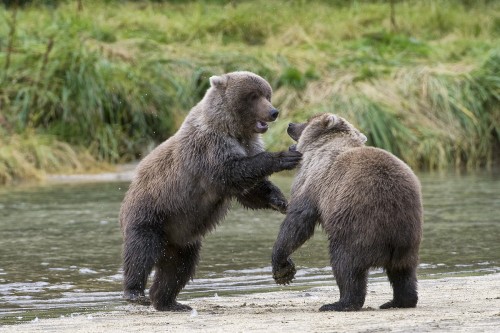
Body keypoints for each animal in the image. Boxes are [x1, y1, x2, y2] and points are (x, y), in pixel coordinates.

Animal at [120, 70, 300, 312]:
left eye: (267, 94)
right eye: (253, 96)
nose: (273, 112)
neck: (233, 129)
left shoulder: (247, 145)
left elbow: (250, 190)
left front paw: (280, 201)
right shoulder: (210, 148)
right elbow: (233, 172)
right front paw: (284, 156)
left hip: (182, 238)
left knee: (178, 268)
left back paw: (169, 302)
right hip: (152, 212)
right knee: (141, 250)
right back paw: (135, 292)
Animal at [274, 113, 422, 312]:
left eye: (307, 120)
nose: (290, 124)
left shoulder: (315, 177)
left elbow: (299, 219)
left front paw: (280, 264)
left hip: (358, 225)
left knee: (346, 264)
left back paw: (339, 303)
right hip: (408, 237)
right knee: (403, 272)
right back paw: (398, 301)